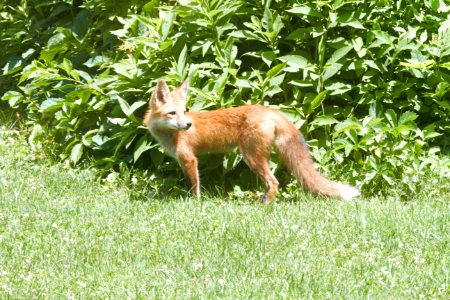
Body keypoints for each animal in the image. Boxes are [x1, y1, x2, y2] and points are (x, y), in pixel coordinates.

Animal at [142, 79, 360, 203]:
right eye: (173, 113)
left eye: (183, 112)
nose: (188, 124)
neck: (170, 135)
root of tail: (269, 110)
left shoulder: (188, 159)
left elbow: (194, 187)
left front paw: (195, 204)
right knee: (270, 184)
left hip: (251, 157)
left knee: (273, 182)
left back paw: (265, 206)